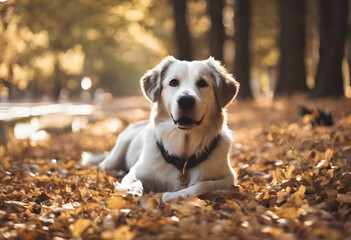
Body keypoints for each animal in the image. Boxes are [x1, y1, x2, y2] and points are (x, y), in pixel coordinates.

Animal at [84, 56, 241, 202]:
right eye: (173, 82)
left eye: (202, 83)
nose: (185, 100)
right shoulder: (138, 170)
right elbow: (131, 180)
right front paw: (134, 190)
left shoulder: (229, 177)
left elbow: (203, 184)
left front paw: (171, 196)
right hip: (114, 156)